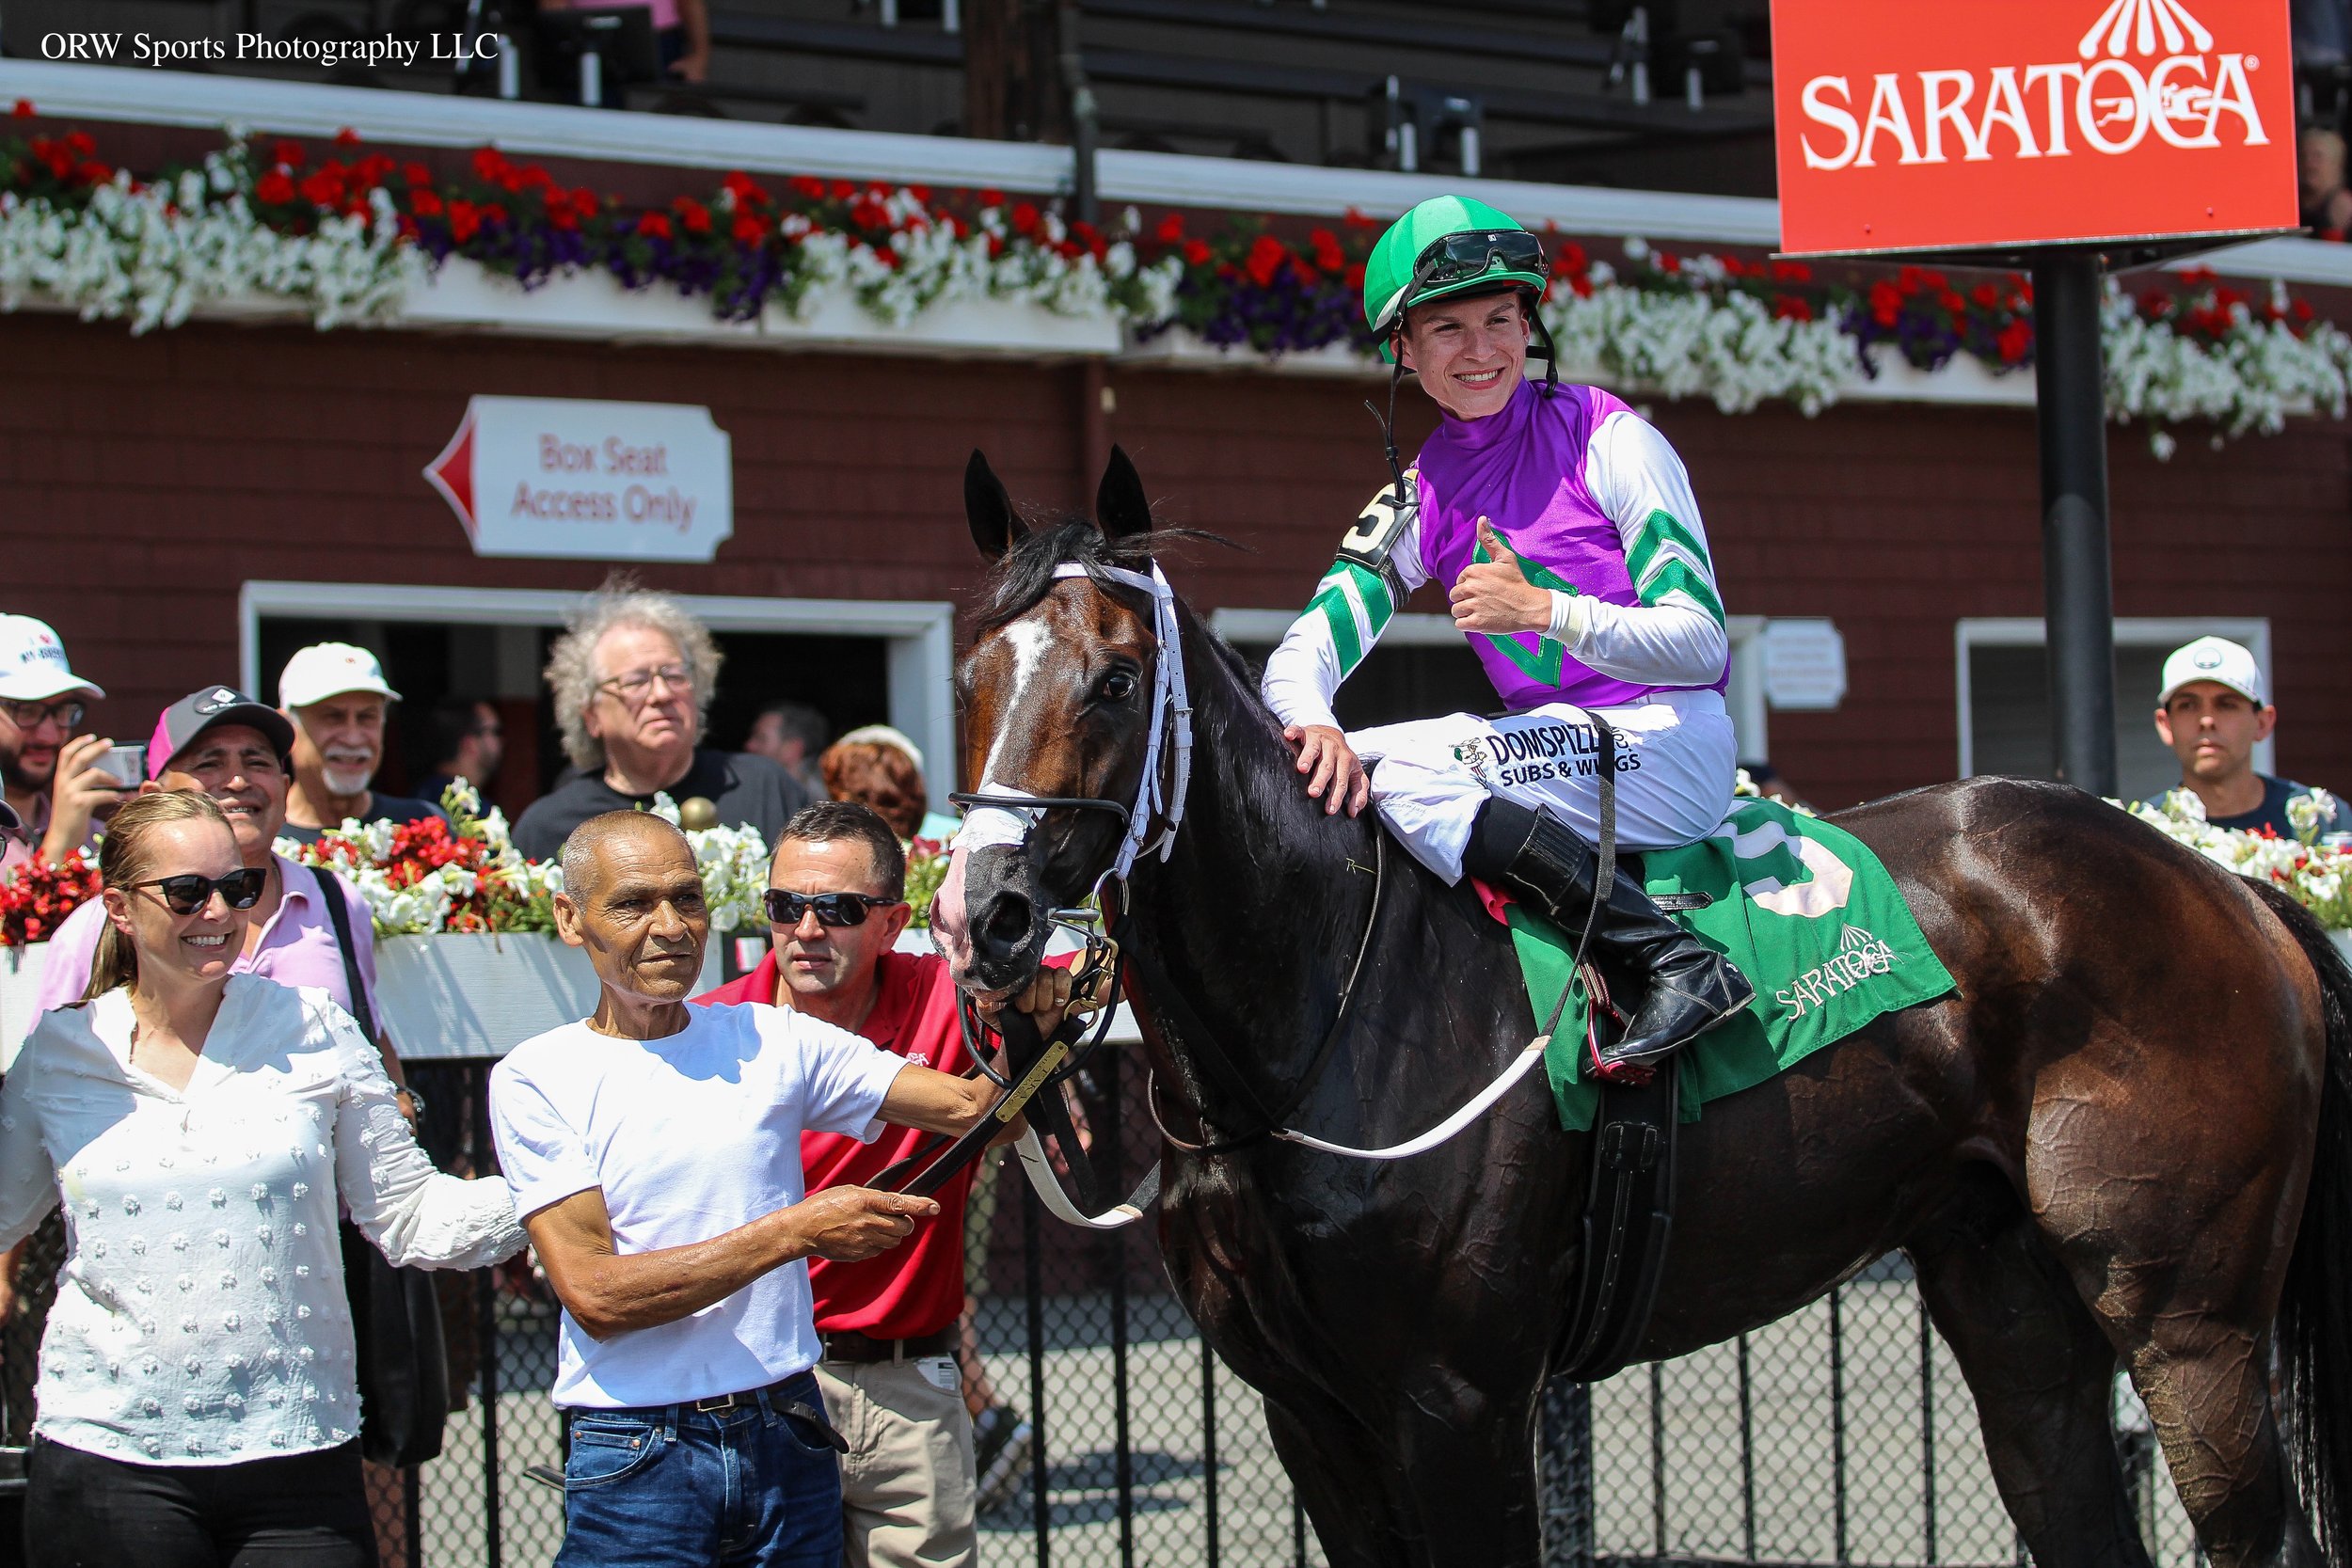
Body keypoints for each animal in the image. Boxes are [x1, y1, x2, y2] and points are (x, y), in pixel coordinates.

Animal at [927, 447, 2352, 1568]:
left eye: (1116, 679)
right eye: (969, 675)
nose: (984, 912)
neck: (1319, 1014)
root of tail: (2225, 882)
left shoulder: (1459, 1403)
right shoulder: (1311, 1414)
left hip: (2187, 1315)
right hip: (2012, 1295)